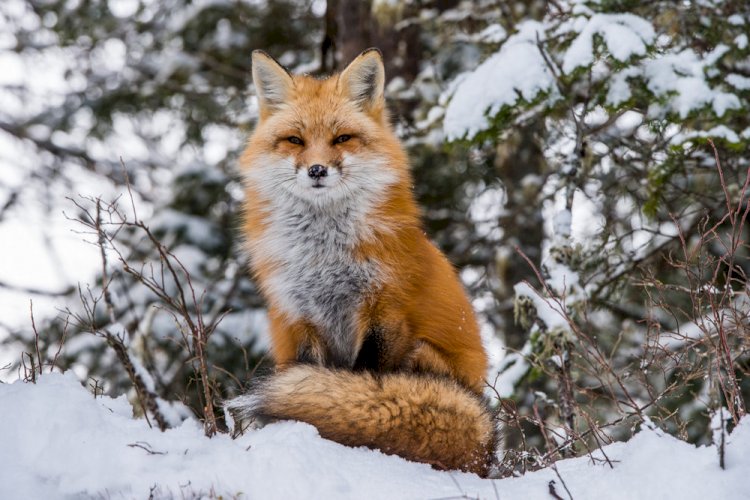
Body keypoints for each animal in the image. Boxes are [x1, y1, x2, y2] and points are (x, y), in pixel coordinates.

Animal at [229, 47, 500, 476]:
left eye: (341, 138)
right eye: (295, 140)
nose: (317, 170)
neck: (324, 256)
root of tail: (486, 452)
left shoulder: (384, 311)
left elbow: (363, 384)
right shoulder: (299, 318)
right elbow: (319, 376)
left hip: (422, 351)